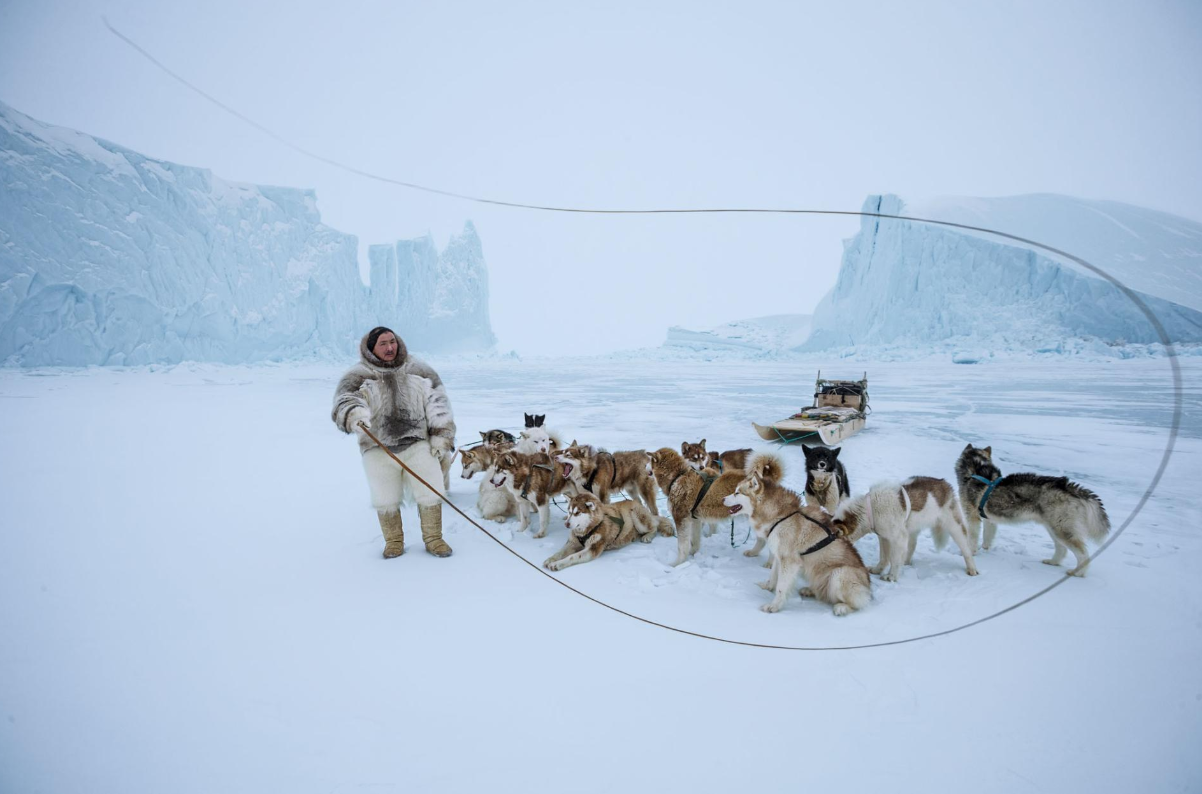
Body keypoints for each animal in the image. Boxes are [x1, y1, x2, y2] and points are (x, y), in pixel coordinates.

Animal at [545, 490, 677, 569]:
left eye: (577, 513)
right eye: (569, 511)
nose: (566, 524)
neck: (588, 529)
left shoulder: (593, 549)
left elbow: (571, 557)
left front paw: (557, 564)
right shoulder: (572, 543)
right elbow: (560, 552)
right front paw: (551, 559)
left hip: (637, 516)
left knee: (654, 526)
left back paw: (647, 536)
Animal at [716, 451, 870, 612]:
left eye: (737, 493)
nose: (722, 499)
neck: (780, 516)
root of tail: (868, 586)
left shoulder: (789, 561)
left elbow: (781, 587)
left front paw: (774, 606)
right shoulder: (779, 557)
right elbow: (773, 576)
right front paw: (767, 587)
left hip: (838, 574)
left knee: (858, 603)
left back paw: (842, 608)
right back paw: (809, 590)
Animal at [831, 473, 980, 578]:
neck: (870, 508)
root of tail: (945, 483)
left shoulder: (897, 538)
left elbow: (894, 558)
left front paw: (891, 577)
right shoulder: (884, 537)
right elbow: (884, 557)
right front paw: (878, 570)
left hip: (954, 526)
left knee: (966, 549)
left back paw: (972, 568)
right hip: (912, 529)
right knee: (911, 546)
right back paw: (906, 562)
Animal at [951, 439, 1110, 576]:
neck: (976, 470)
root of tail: (1068, 487)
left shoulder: (972, 516)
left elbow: (972, 538)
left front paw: (970, 552)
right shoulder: (989, 519)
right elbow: (987, 538)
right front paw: (985, 549)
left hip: (1062, 530)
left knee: (1083, 554)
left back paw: (1077, 573)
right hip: (1053, 528)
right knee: (1062, 549)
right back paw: (1053, 562)